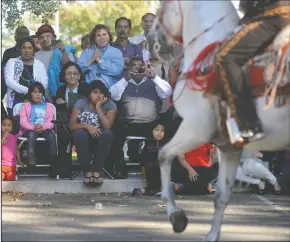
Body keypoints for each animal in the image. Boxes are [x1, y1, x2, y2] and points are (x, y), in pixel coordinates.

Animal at [148, 0, 288, 241]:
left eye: (163, 6)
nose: (150, 40)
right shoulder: (229, 148)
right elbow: (222, 196)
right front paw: (212, 234)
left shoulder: (197, 128)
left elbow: (163, 155)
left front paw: (177, 217)